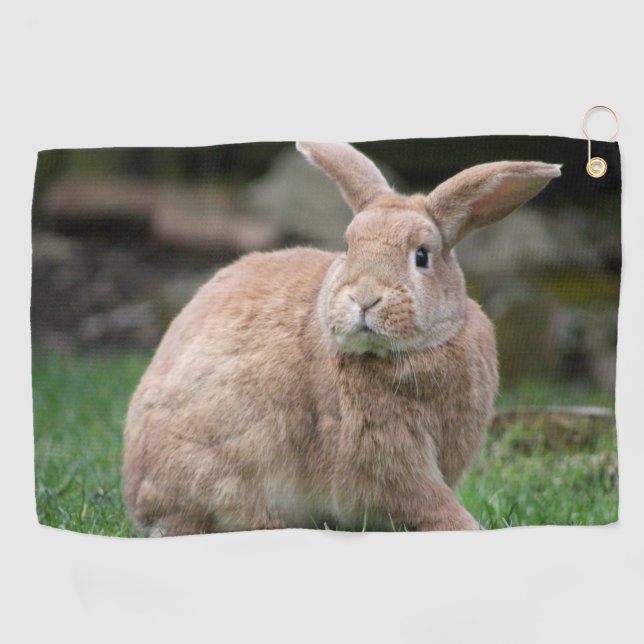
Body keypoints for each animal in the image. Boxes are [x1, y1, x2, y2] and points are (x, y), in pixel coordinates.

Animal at [123, 142, 560, 535]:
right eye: (347, 247)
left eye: (422, 256)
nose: (364, 297)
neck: (404, 353)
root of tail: (137, 492)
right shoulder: (387, 457)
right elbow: (424, 499)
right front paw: (467, 526)